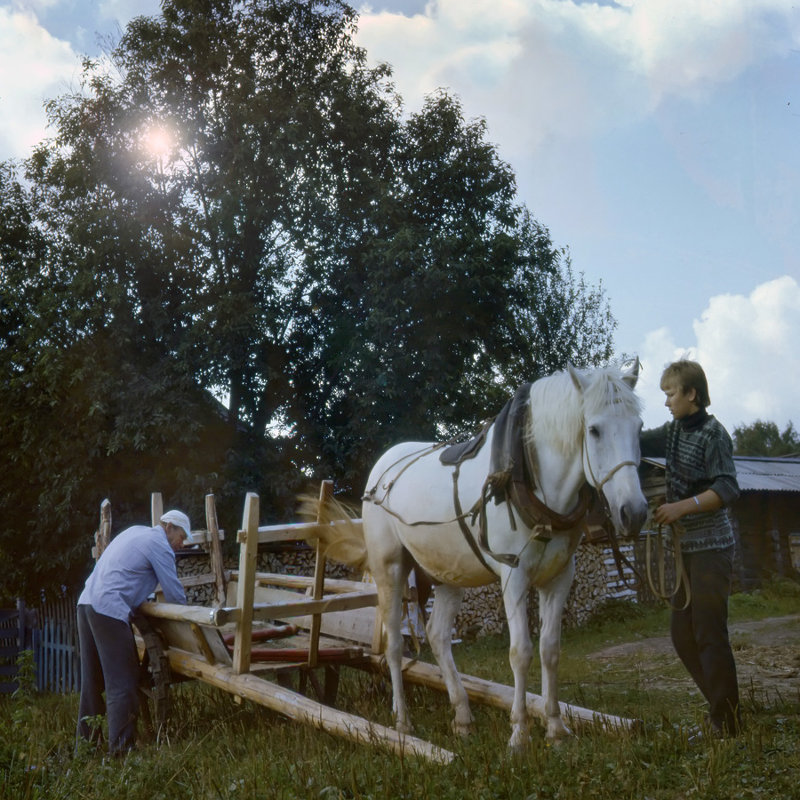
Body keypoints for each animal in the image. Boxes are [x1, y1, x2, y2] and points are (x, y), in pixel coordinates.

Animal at [318, 362, 644, 752]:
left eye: (639, 427)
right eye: (593, 430)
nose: (634, 512)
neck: (529, 474)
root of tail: (380, 473)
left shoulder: (559, 577)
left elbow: (550, 649)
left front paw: (556, 728)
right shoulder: (514, 575)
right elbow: (521, 652)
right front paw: (519, 733)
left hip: (446, 573)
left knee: (438, 636)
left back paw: (462, 716)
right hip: (390, 568)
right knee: (395, 645)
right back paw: (403, 722)